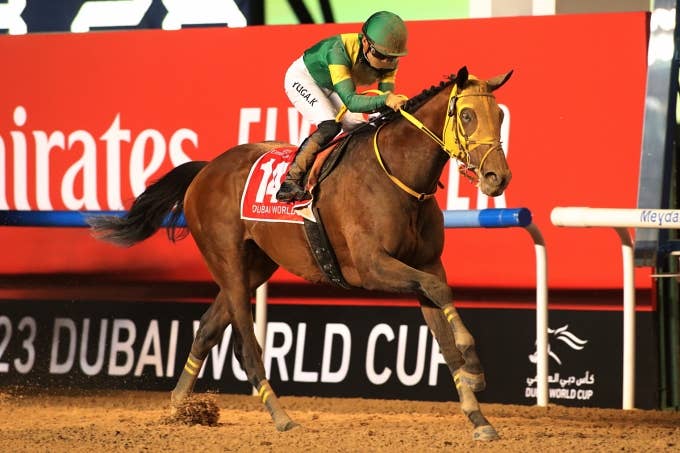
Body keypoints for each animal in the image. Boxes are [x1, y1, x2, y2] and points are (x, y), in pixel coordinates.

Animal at [88, 66, 513, 441]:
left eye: (501, 115)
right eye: (468, 115)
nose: (498, 177)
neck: (397, 174)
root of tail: (207, 169)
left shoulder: (425, 264)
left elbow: (442, 329)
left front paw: (478, 416)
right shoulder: (373, 266)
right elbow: (440, 295)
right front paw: (475, 366)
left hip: (255, 266)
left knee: (208, 328)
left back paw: (178, 408)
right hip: (227, 260)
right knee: (246, 344)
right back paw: (280, 416)